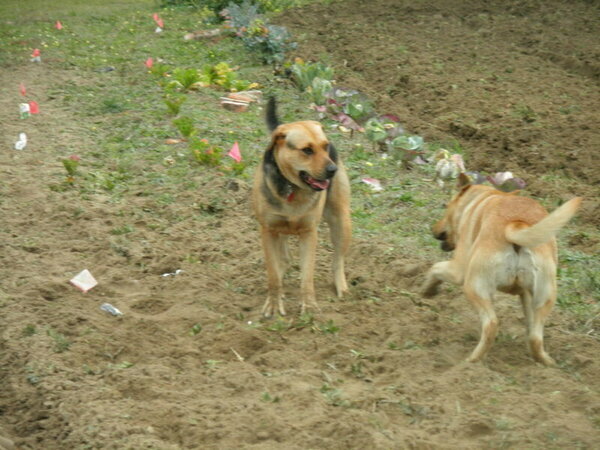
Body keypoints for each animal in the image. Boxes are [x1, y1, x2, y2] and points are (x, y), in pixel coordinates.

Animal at [252, 98, 352, 316]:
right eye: (307, 150)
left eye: (325, 146)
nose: (332, 170)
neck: (293, 188)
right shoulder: (268, 229)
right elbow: (273, 274)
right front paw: (274, 303)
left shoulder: (309, 232)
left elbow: (307, 276)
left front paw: (310, 306)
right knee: (283, 260)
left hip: (341, 219)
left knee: (338, 259)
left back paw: (342, 287)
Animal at [422, 173, 580, 366]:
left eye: (446, 206)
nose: (433, 229)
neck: (480, 200)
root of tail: (516, 224)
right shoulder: (527, 294)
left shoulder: (458, 269)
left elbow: (435, 268)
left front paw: (427, 290)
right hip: (545, 296)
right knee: (535, 337)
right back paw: (546, 362)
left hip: (473, 287)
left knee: (491, 324)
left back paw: (472, 361)